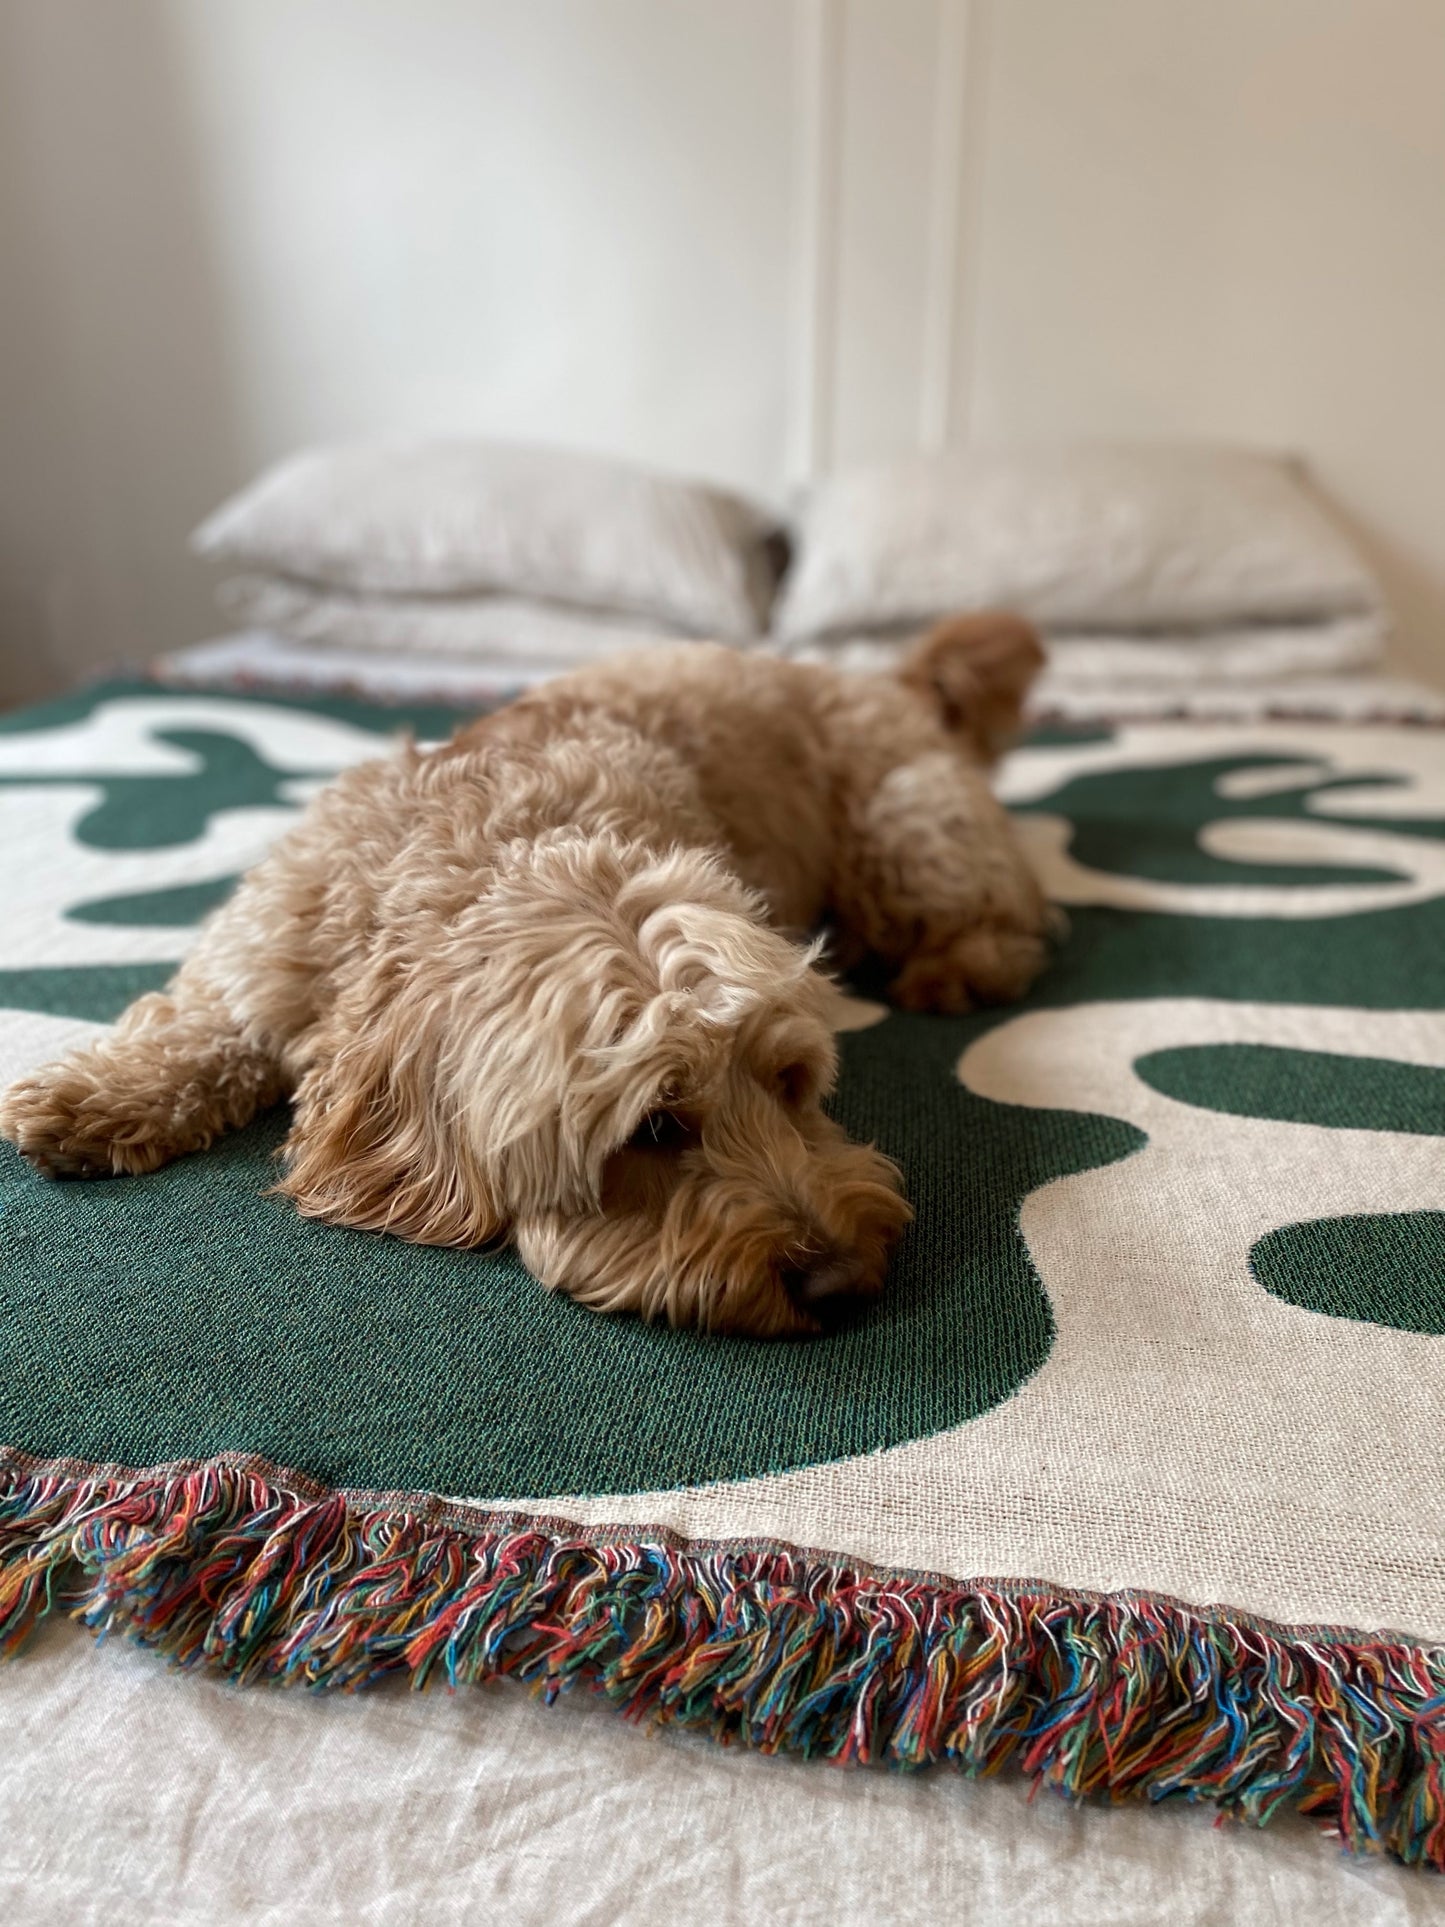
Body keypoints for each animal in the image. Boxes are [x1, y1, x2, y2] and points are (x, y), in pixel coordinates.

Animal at [0, 616, 1055, 1341]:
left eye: (790, 1083)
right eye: (654, 1128)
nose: (844, 1283)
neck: (486, 851)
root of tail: (875, 679)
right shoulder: (264, 950)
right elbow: (205, 1026)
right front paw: (97, 1094)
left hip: (907, 828)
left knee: (1011, 908)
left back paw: (959, 966)